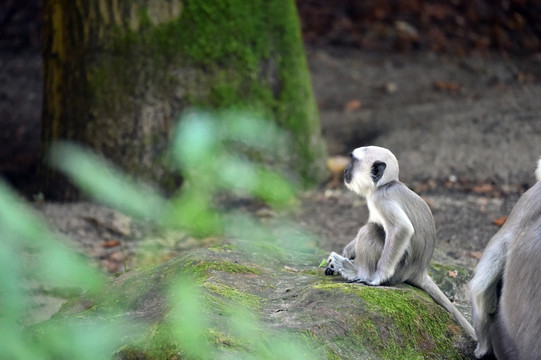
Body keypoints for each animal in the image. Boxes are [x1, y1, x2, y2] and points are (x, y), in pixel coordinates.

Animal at [324, 145, 472, 338]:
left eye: (353, 161)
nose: (345, 170)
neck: (386, 185)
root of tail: (419, 271)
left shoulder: (381, 199)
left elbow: (402, 229)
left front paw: (376, 279)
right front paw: (346, 253)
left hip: (399, 270)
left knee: (369, 231)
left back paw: (355, 271)